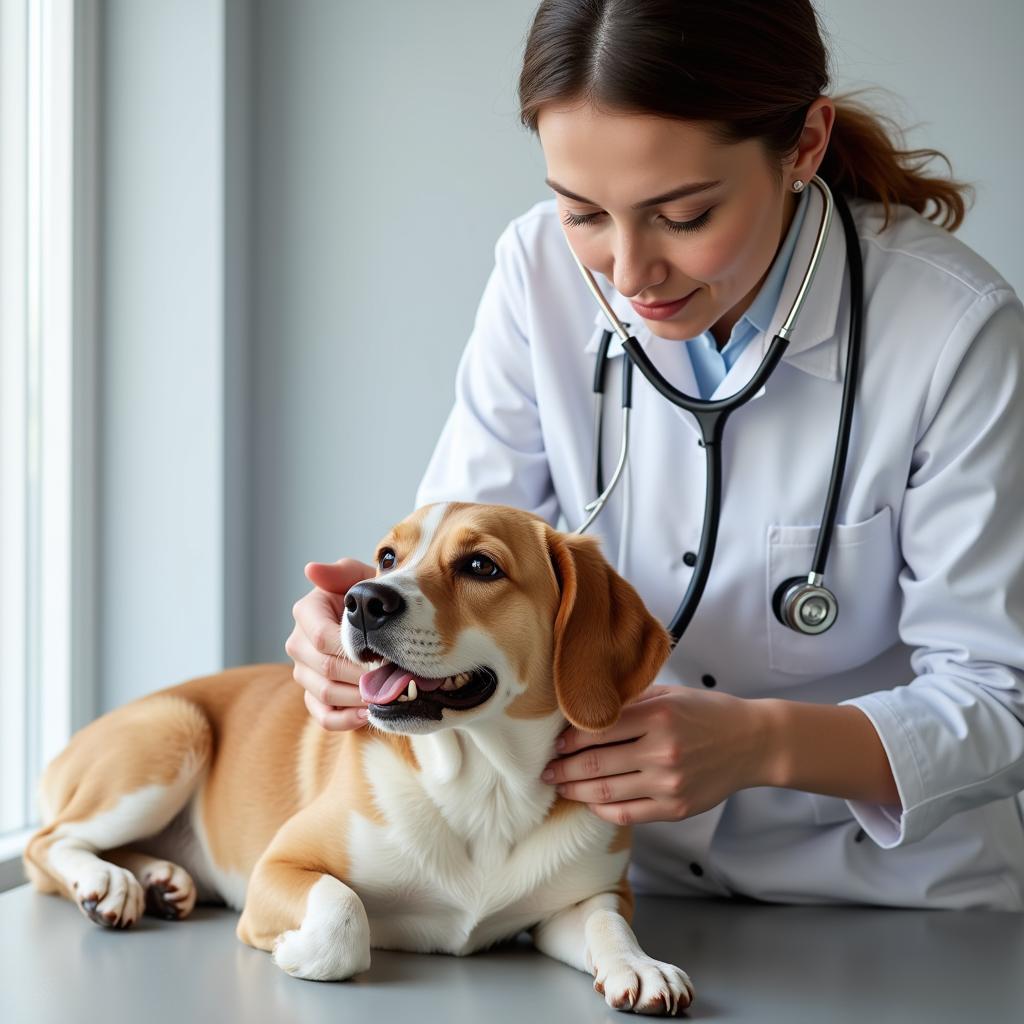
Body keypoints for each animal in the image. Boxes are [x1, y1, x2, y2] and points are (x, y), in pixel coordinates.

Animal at [24, 499, 696, 1011]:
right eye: (387, 557)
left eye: (481, 566)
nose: (362, 598)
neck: (485, 787)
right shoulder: (278, 867)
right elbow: (344, 914)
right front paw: (298, 949)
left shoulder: (587, 896)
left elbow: (609, 921)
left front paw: (641, 965)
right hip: (175, 732)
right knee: (45, 844)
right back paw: (107, 882)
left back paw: (157, 879)